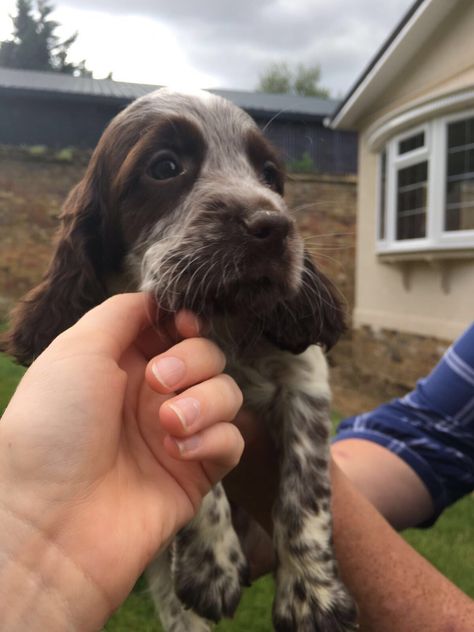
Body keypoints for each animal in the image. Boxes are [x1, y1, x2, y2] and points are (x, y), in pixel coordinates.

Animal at [7, 89, 358, 632]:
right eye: (165, 167)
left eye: (270, 176)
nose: (274, 226)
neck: (223, 325)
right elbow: (197, 466)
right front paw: (212, 565)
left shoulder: (306, 380)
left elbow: (307, 488)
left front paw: (312, 597)